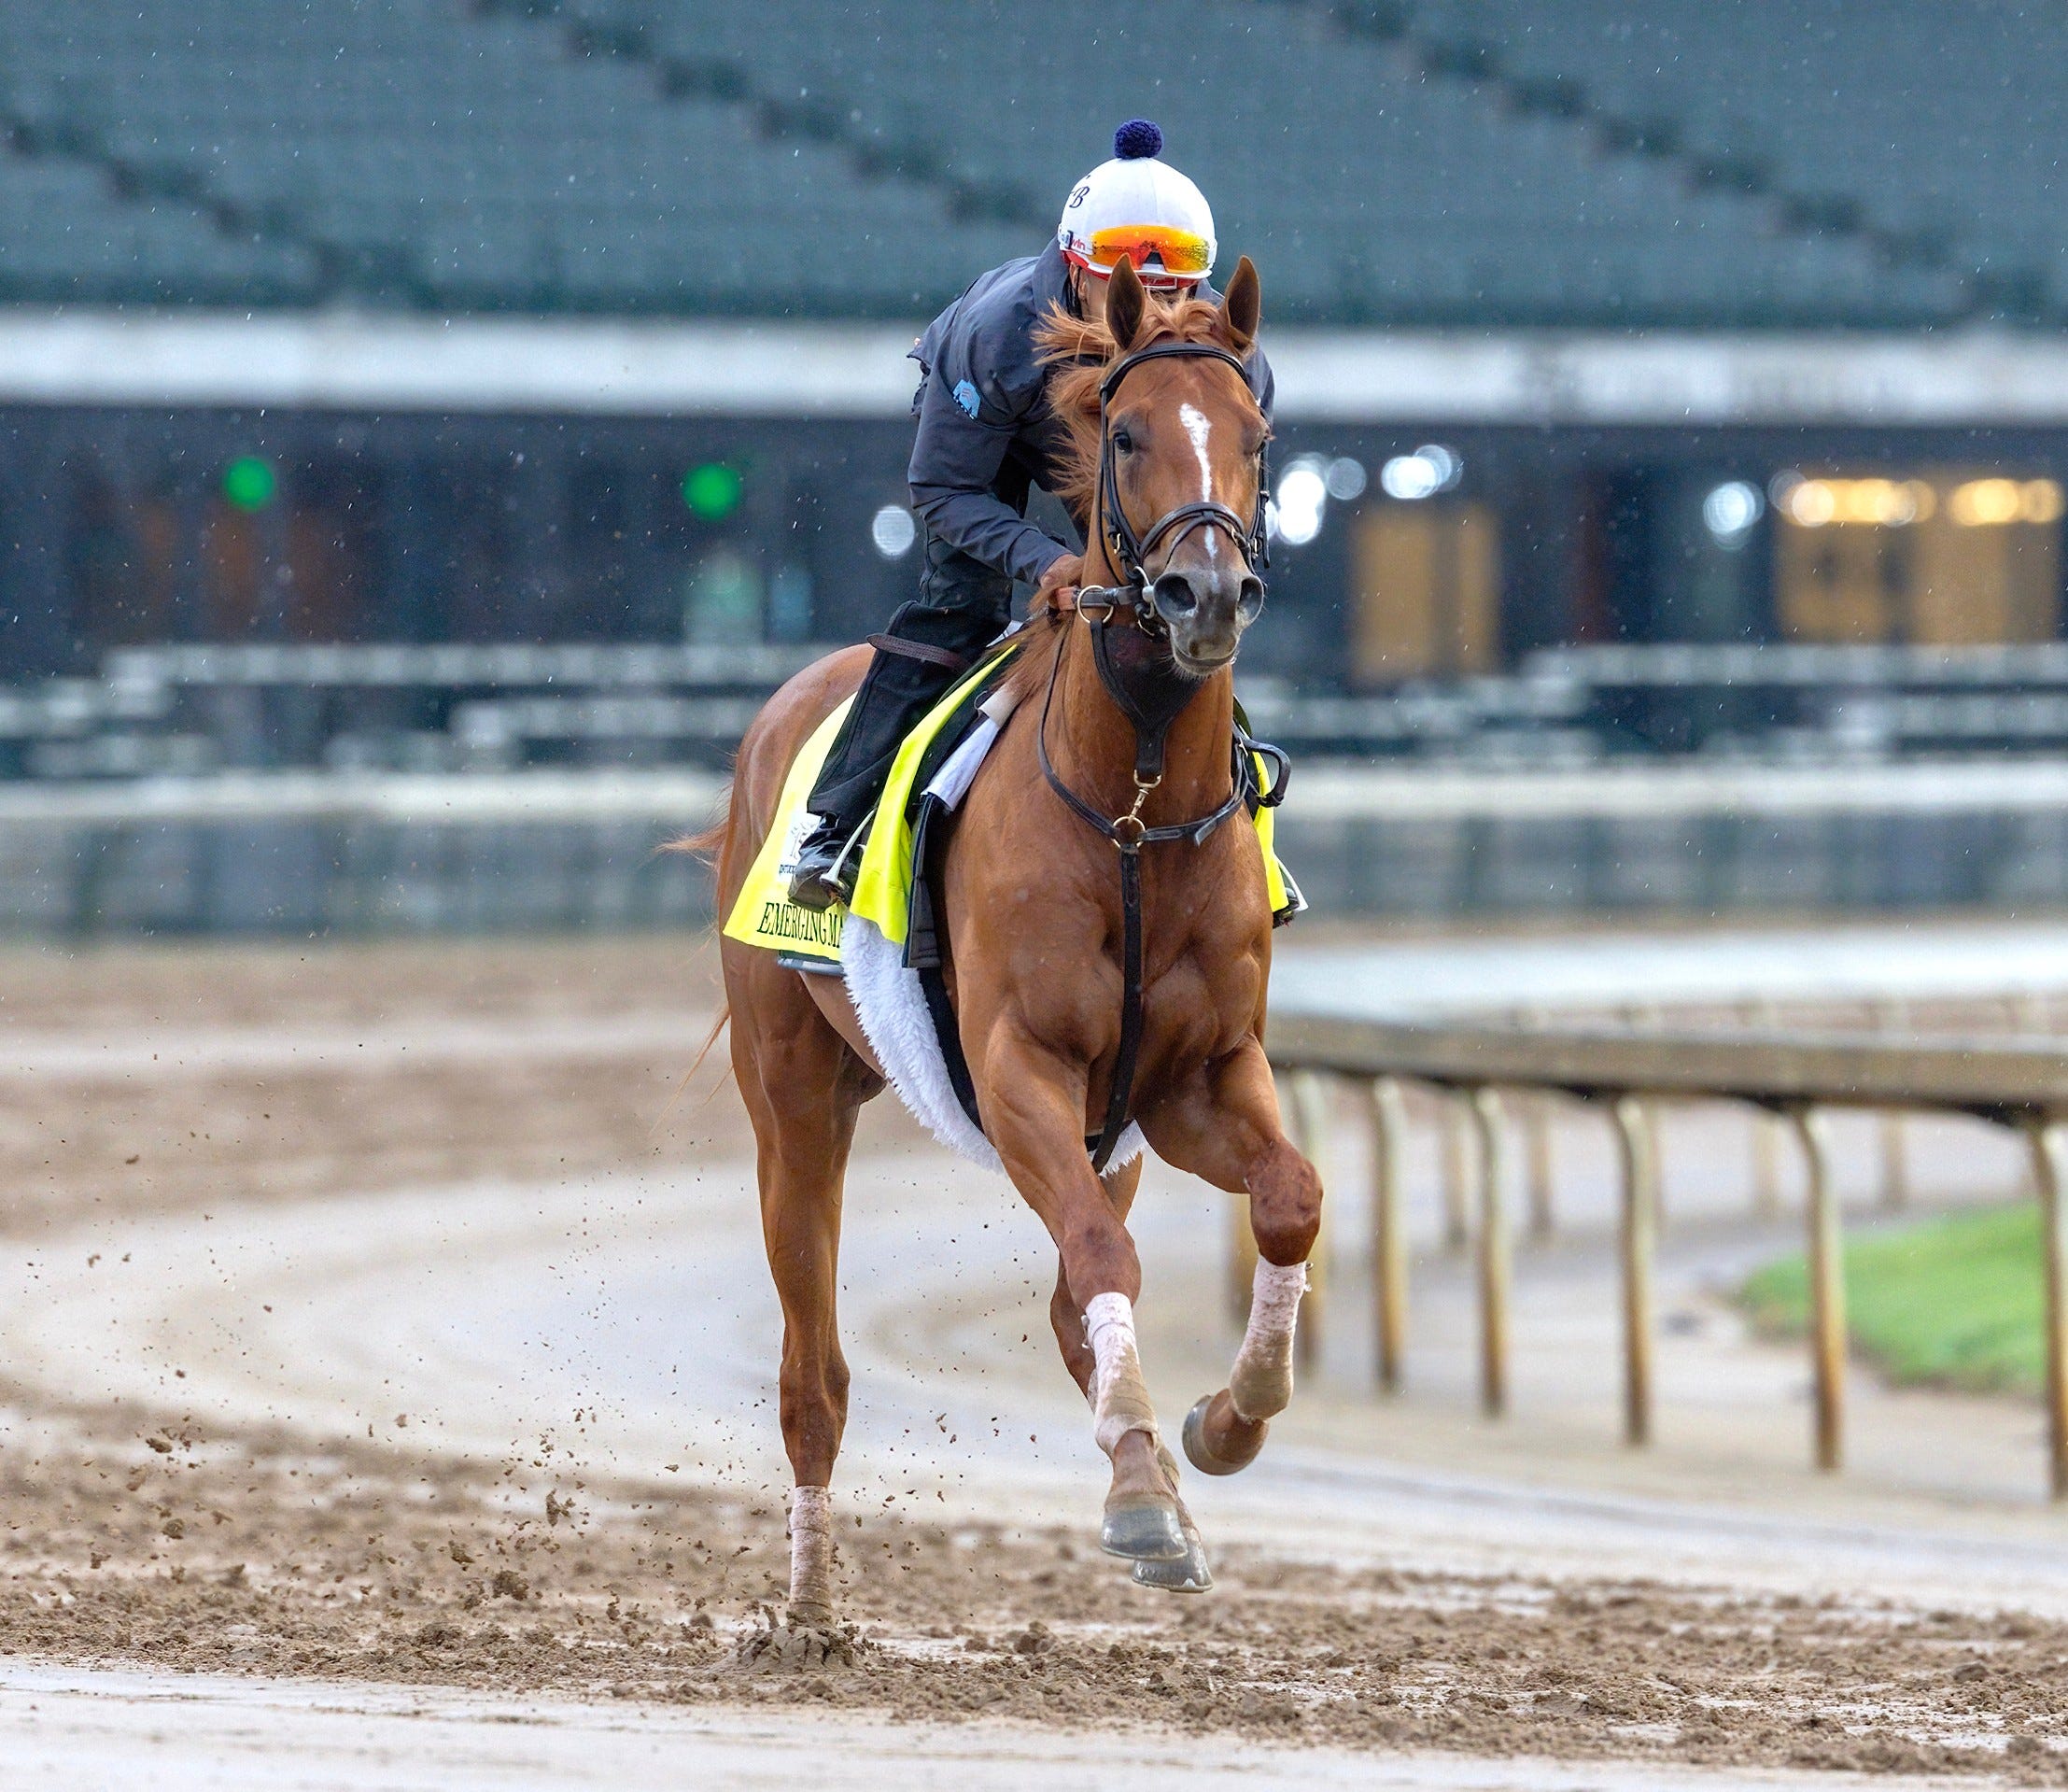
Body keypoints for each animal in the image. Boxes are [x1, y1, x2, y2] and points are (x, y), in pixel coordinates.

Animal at [704, 254, 1322, 1638]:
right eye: (1125, 431)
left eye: (1257, 435)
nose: (1205, 594)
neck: (1133, 803)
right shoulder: (1018, 1062)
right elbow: (1098, 1253)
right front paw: (1142, 1495)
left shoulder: (1194, 1076)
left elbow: (1287, 1201)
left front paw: (1220, 1426)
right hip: (792, 1098)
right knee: (812, 1373)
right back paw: (808, 1611)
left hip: (1115, 1134)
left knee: (1068, 1306)